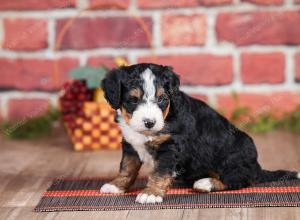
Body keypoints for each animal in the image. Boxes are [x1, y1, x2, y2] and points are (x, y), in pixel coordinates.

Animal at [99, 62, 298, 204]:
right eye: (133, 100)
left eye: (162, 99)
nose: (149, 122)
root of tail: (257, 167)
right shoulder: (130, 144)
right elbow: (127, 167)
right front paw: (116, 185)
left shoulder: (169, 146)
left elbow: (159, 172)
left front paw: (151, 193)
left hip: (232, 158)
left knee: (238, 180)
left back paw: (206, 183)